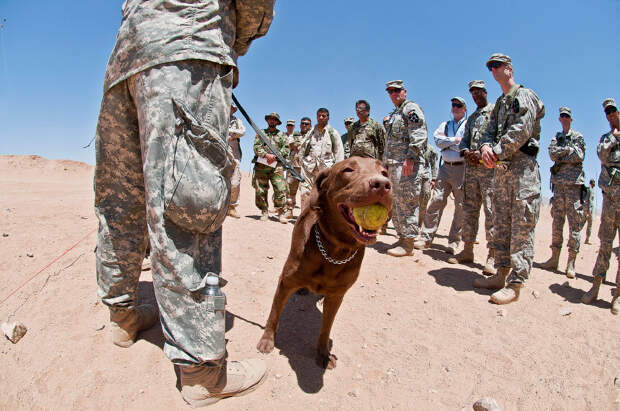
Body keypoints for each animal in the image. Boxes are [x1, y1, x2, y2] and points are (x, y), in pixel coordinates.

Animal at [256, 157, 392, 370]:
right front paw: (267, 340)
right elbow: (274, 314)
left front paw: (323, 354)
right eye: (348, 170)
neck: (334, 250)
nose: (383, 184)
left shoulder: (336, 296)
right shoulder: (285, 282)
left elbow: (326, 328)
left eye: (384, 172)